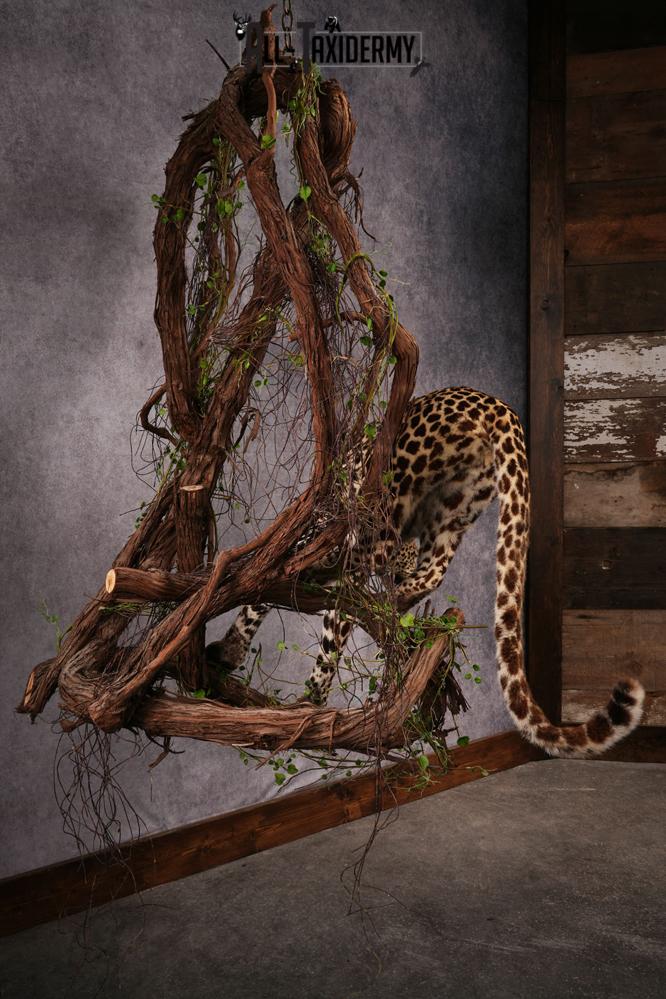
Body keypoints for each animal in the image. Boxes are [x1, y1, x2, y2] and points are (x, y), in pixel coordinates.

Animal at [206, 387, 645, 758]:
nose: (395, 577)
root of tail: (490, 403)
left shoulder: (309, 542)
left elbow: (264, 600)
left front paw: (238, 653)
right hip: (454, 510)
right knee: (432, 569)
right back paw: (395, 606)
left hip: (390, 494)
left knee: (366, 557)